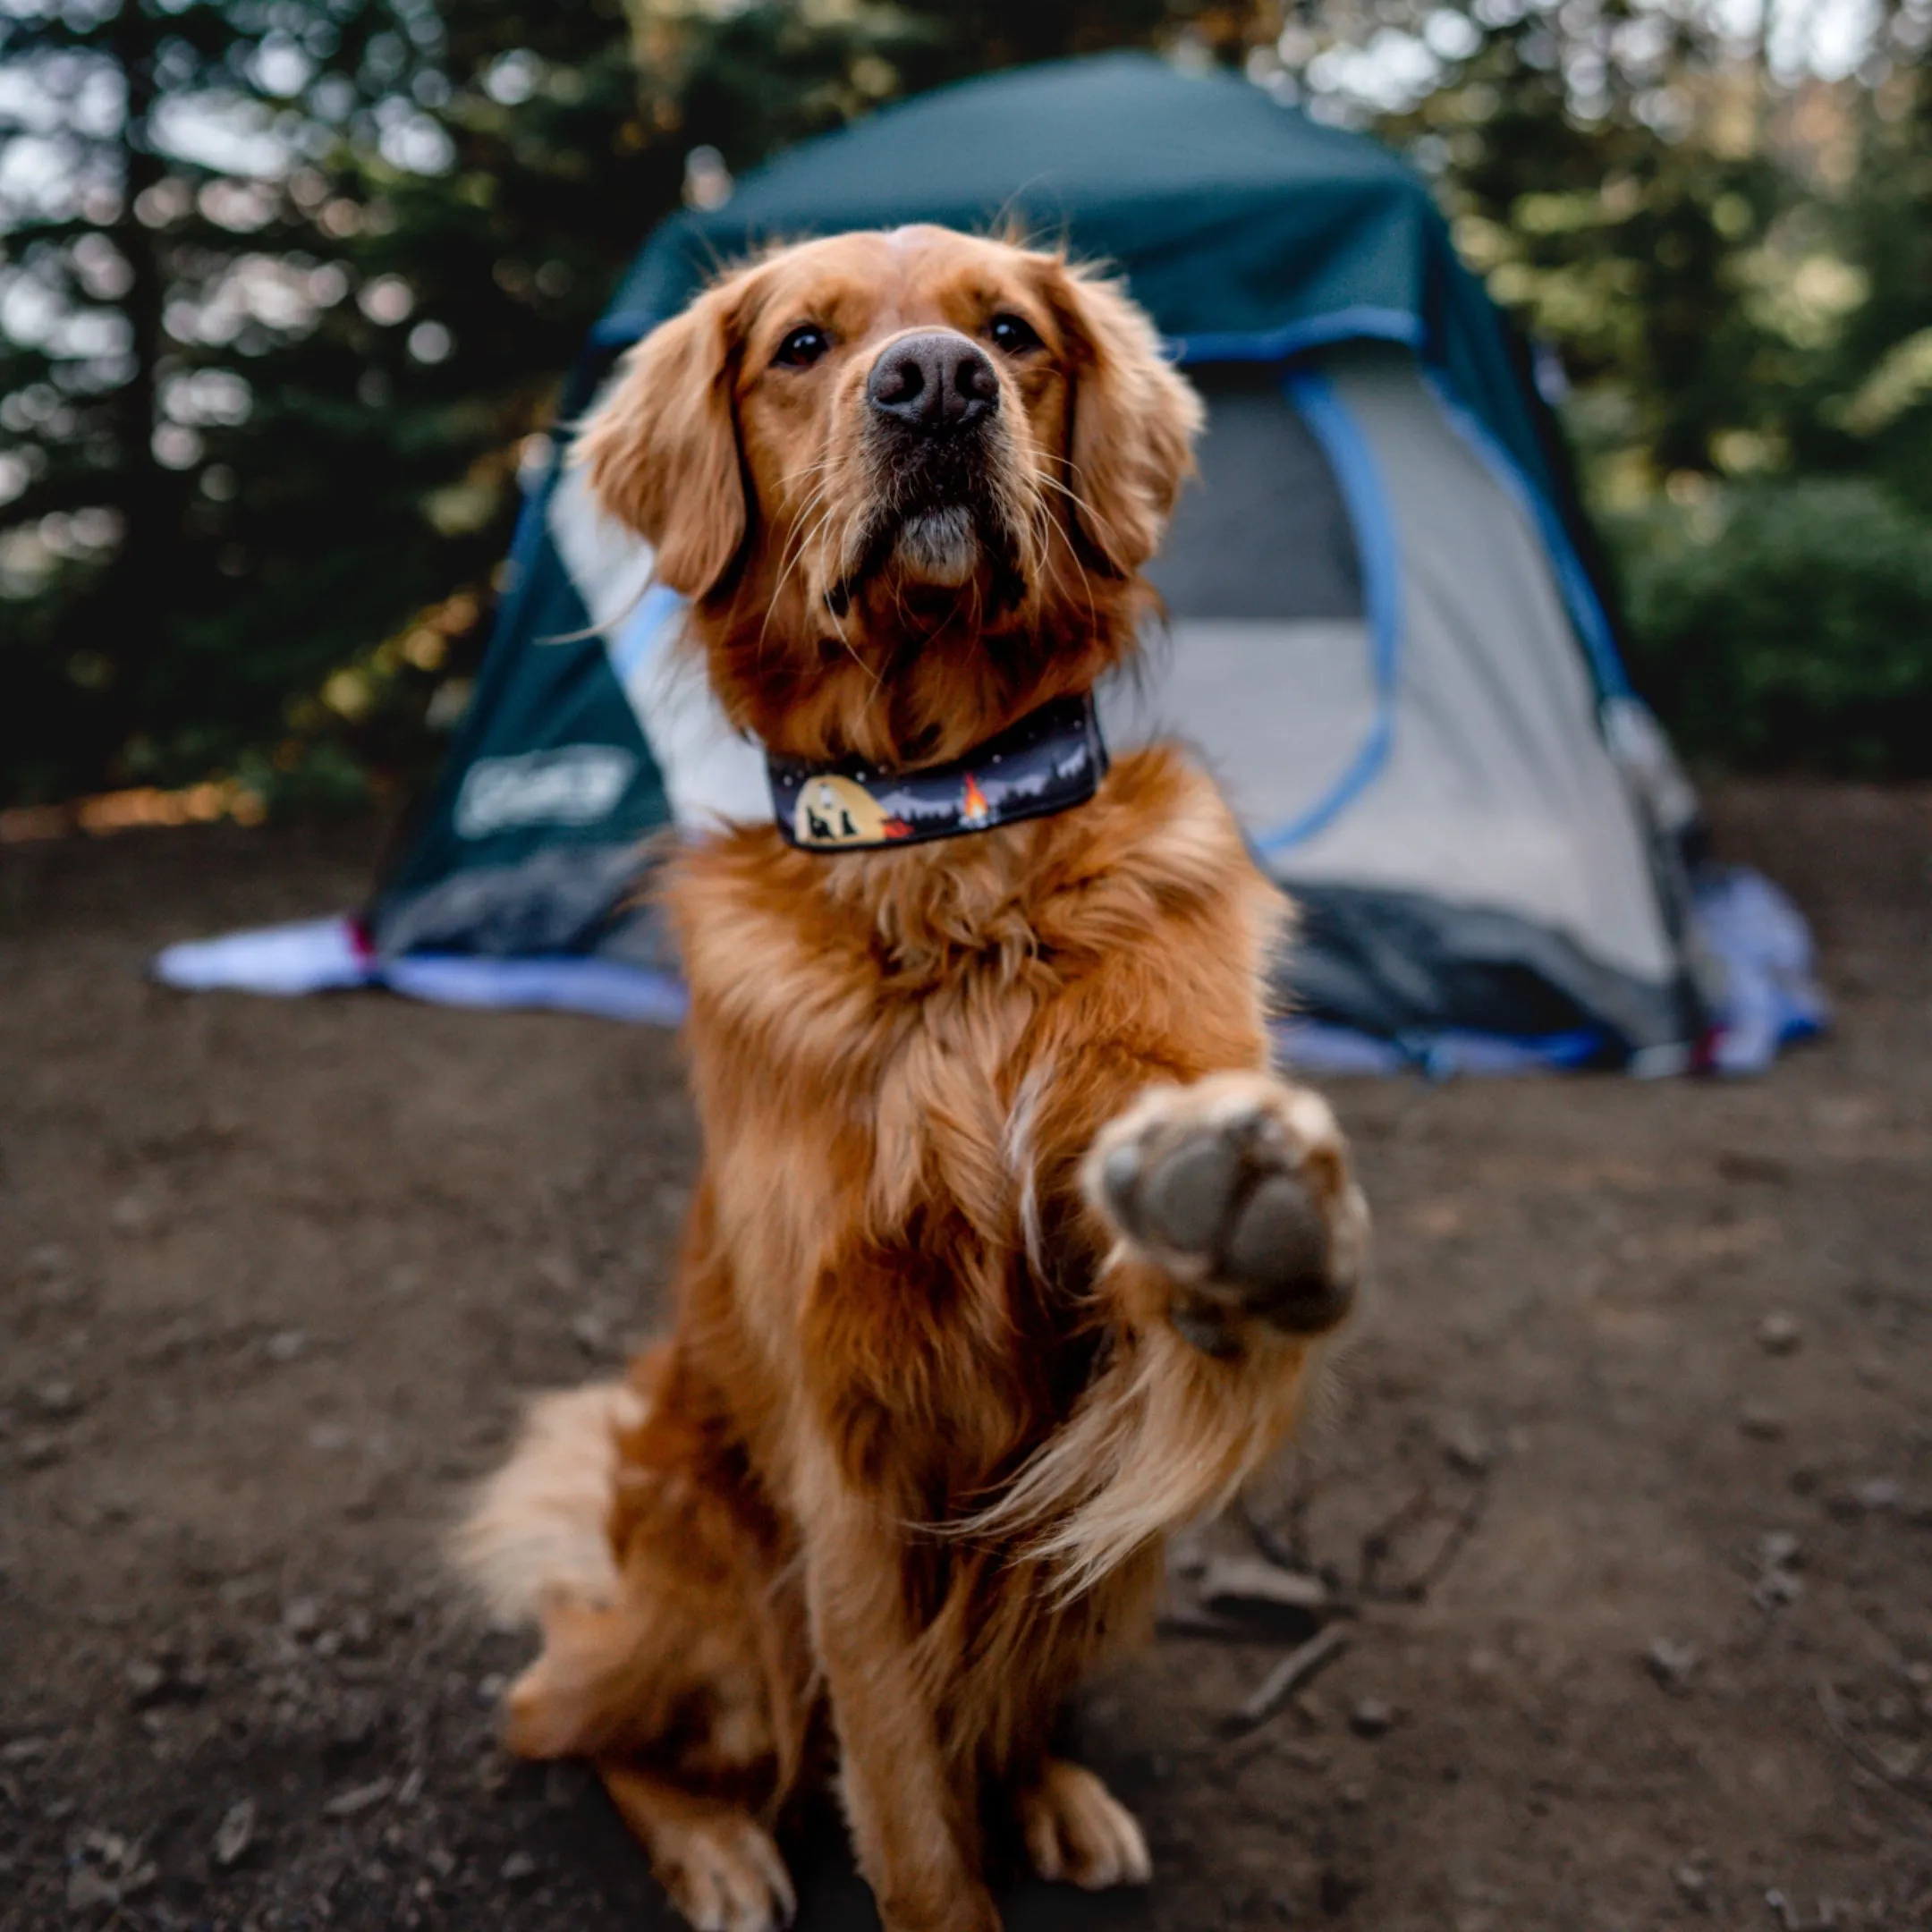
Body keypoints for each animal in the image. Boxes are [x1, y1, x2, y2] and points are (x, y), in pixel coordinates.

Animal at [453, 230, 1368, 1932]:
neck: (949, 853)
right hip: (724, 1601)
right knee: (562, 1713)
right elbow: (904, 1799)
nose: (937, 382)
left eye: (1009, 331)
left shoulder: (1098, 1351)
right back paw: (715, 1847)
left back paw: (1053, 1790)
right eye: (802, 345)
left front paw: (1243, 1197)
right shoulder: (849, 1450)